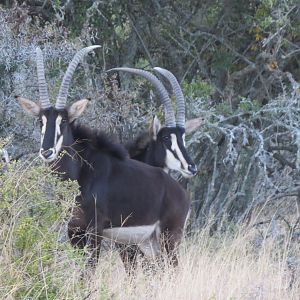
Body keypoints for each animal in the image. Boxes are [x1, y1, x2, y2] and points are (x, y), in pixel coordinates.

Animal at [16, 46, 190, 268]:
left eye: (63, 121)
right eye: (41, 121)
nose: (47, 152)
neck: (80, 173)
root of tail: (180, 192)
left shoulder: (96, 229)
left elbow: (89, 270)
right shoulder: (74, 230)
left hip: (169, 237)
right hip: (149, 243)